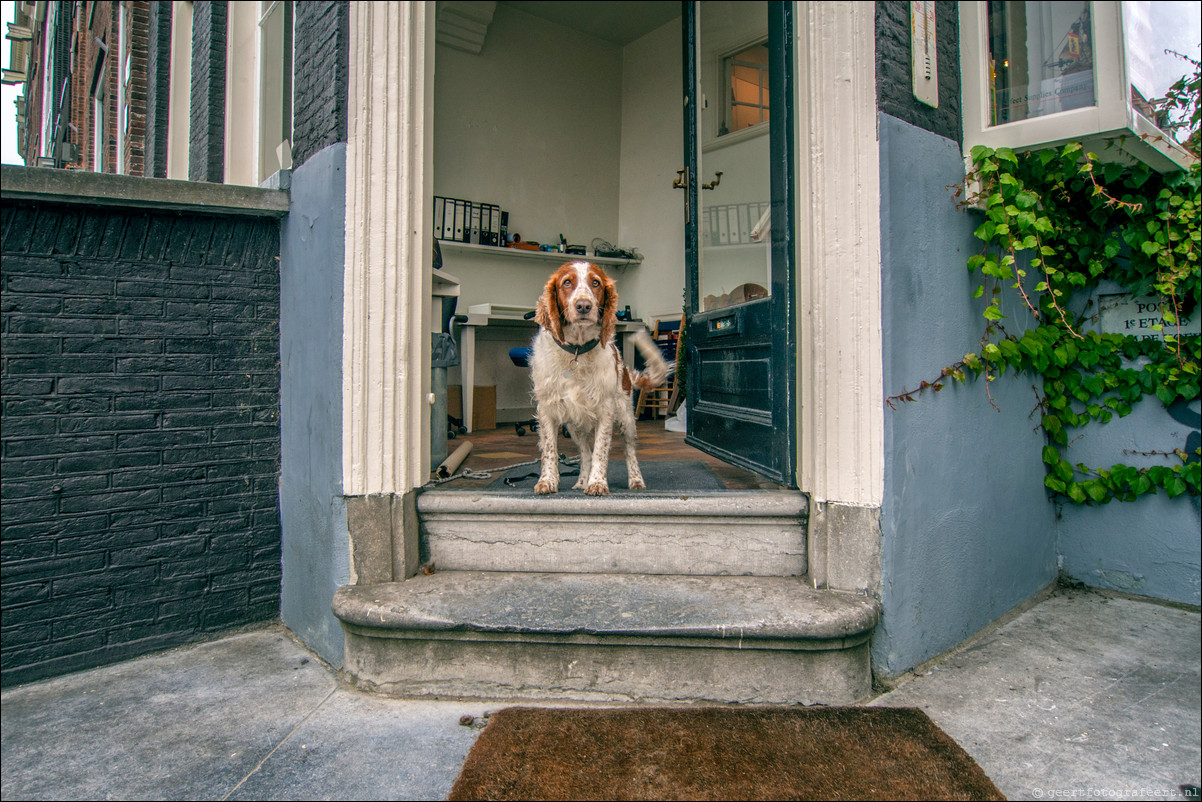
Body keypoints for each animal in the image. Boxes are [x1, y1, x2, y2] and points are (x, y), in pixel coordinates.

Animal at [531, 260, 673, 495]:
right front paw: (548, 481)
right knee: (585, 453)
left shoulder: (605, 411)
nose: (583, 306)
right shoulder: (547, 409)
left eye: (595, 283)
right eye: (567, 282)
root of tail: (626, 370)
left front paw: (597, 483)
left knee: (629, 451)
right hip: (575, 427)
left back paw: (635, 480)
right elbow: (550, 450)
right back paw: (581, 481)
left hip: (626, 418)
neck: (577, 352)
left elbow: (600, 451)